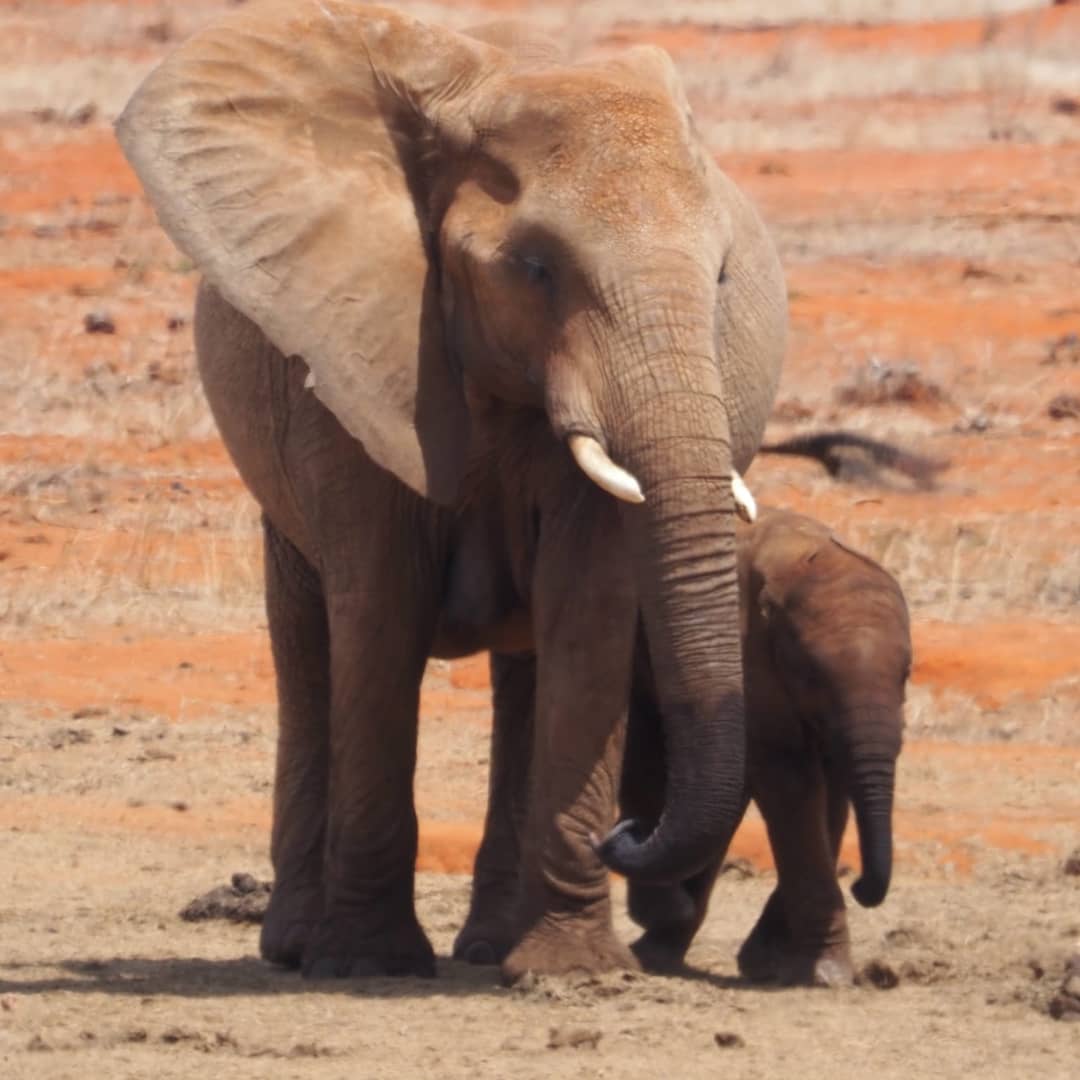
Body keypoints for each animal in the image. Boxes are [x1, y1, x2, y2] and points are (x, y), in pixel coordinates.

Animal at [114, 1, 787, 982]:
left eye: (725, 277)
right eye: (536, 269)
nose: (627, 831)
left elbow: (587, 612)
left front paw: (570, 974)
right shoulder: (356, 353)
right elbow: (380, 614)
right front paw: (369, 962)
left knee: (524, 669)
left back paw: (491, 946)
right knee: (307, 647)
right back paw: (298, 944)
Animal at [620, 507, 912, 985]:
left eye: (907, 674)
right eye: (811, 674)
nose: (860, 887)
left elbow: (827, 789)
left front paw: (776, 963)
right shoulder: (748, 656)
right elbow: (790, 781)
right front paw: (824, 973)